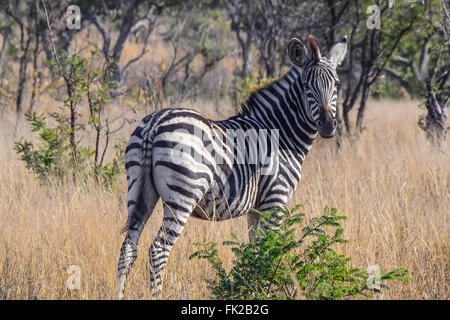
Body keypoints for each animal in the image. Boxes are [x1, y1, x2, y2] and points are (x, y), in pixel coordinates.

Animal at [117, 33, 348, 298]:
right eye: (307, 86)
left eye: (336, 85)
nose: (328, 126)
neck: (282, 133)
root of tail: (156, 122)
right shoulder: (275, 200)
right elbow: (269, 251)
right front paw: (265, 289)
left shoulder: (256, 208)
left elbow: (256, 252)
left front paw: (255, 288)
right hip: (183, 194)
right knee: (158, 250)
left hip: (139, 191)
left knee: (128, 248)